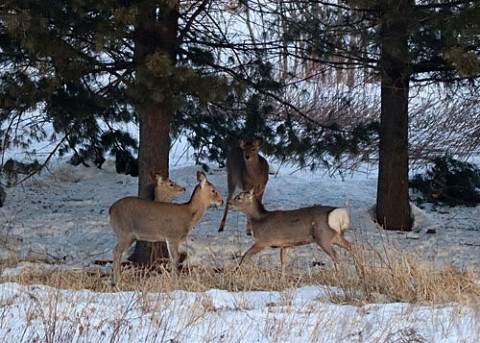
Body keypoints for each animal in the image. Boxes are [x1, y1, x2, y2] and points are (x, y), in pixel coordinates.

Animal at [229, 187, 360, 278]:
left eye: (239, 197)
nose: (229, 203)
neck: (258, 220)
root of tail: (338, 215)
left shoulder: (263, 241)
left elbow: (246, 255)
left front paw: (236, 272)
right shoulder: (285, 244)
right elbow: (283, 261)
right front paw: (282, 278)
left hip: (323, 237)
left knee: (335, 255)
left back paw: (339, 276)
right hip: (335, 236)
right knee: (352, 247)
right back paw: (360, 271)